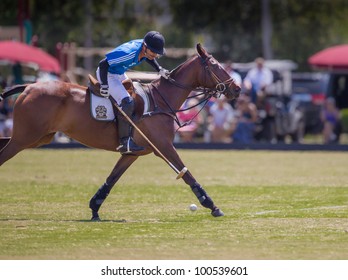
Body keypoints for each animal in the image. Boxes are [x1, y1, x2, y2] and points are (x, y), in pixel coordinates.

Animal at [0, 43, 239, 220]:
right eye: (215, 65)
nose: (237, 89)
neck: (161, 100)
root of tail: (28, 87)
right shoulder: (163, 146)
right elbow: (186, 173)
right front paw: (213, 206)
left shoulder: (132, 153)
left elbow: (112, 178)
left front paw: (95, 209)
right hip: (25, 137)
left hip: (38, 137)